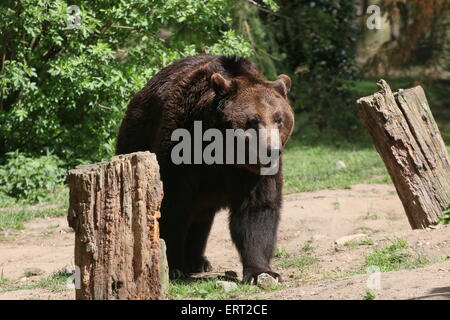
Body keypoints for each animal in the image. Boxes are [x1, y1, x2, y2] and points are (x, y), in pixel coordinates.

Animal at [115, 54, 296, 282]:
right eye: (253, 120)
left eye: (279, 119)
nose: (271, 151)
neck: (222, 153)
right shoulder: (181, 152)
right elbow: (173, 205)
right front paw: (173, 266)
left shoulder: (251, 173)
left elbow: (257, 209)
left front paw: (261, 271)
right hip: (136, 137)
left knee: (201, 218)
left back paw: (198, 260)